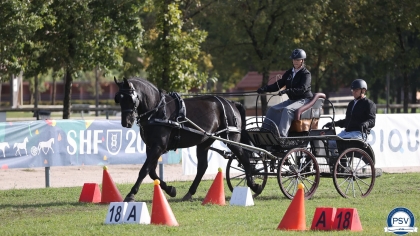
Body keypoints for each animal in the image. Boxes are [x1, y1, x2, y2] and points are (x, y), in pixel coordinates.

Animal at [113, 77, 260, 201]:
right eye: (119, 99)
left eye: (131, 98)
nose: (126, 122)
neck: (157, 110)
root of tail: (231, 103)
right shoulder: (151, 147)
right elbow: (152, 172)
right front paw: (171, 190)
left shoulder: (158, 147)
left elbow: (144, 170)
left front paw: (131, 194)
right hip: (204, 142)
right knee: (202, 167)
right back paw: (189, 193)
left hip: (231, 138)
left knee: (244, 158)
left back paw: (253, 185)